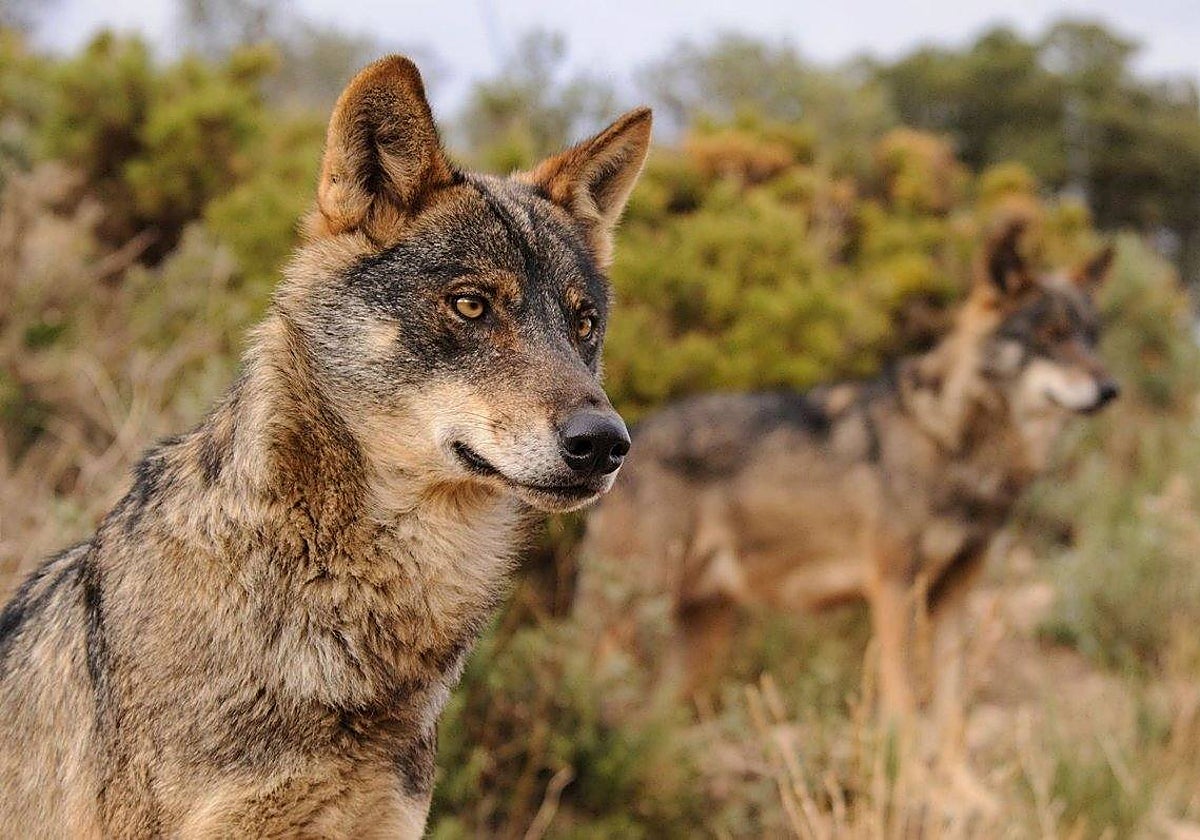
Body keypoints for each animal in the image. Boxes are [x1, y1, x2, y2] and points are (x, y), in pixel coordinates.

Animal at [576, 219, 1117, 741]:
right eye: (1050, 334)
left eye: (1091, 337)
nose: (1111, 389)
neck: (954, 444)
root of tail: (630, 437)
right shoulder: (894, 588)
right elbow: (903, 708)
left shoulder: (954, 597)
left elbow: (951, 713)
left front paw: (961, 779)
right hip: (630, 619)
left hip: (699, 637)